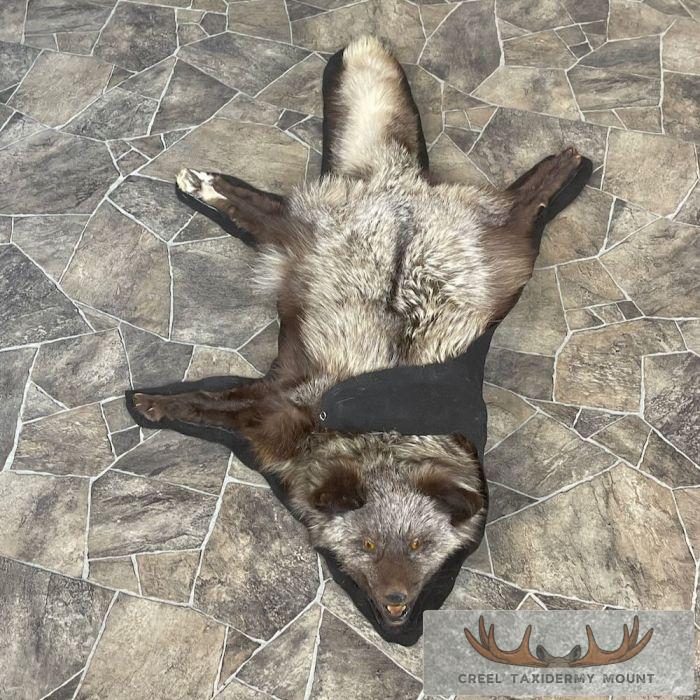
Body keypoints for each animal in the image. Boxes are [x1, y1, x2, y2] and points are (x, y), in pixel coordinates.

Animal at [128, 36, 590, 631]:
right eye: (366, 547)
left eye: (422, 549)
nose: (395, 609)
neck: (378, 437)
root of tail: (396, 188)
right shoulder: (276, 411)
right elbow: (207, 403)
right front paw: (155, 403)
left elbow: (217, 403)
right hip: (355, 241)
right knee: (271, 212)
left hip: (498, 253)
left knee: (515, 205)